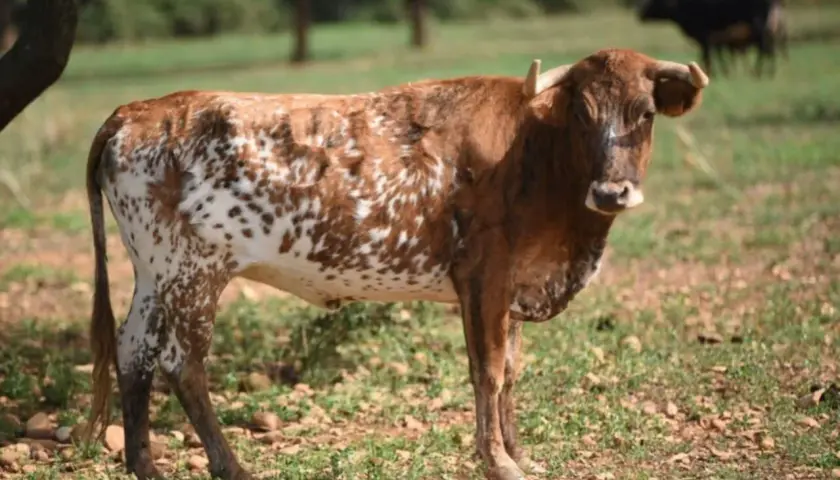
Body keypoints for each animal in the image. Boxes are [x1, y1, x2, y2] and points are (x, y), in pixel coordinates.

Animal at [84, 48, 708, 480]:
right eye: (582, 113)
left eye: (646, 113)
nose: (611, 191)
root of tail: (136, 111)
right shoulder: (483, 274)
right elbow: (489, 370)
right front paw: (499, 462)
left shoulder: (511, 286)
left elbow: (510, 372)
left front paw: (519, 452)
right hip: (193, 271)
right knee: (182, 363)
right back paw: (230, 465)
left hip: (153, 273)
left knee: (134, 351)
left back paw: (145, 464)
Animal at [637, 0, 786, 78]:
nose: (640, 13)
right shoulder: (714, 42)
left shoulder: (706, 38)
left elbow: (707, 57)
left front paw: (710, 74)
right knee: (770, 51)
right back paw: (769, 72)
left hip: (761, 31)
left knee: (765, 51)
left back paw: (759, 72)